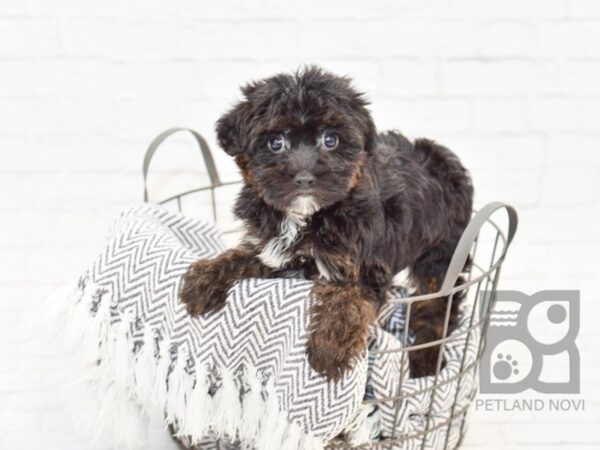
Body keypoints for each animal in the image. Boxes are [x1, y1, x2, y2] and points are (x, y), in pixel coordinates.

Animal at [179, 67, 474, 382]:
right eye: (275, 142)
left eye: (330, 140)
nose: (305, 178)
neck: (307, 217)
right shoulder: (272, 249)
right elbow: (241, 254)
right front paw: (205, 278)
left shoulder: (365, 265)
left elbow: (348, 299)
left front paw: (328, 351)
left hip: (443, 252)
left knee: (437, 303)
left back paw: (425, 360)